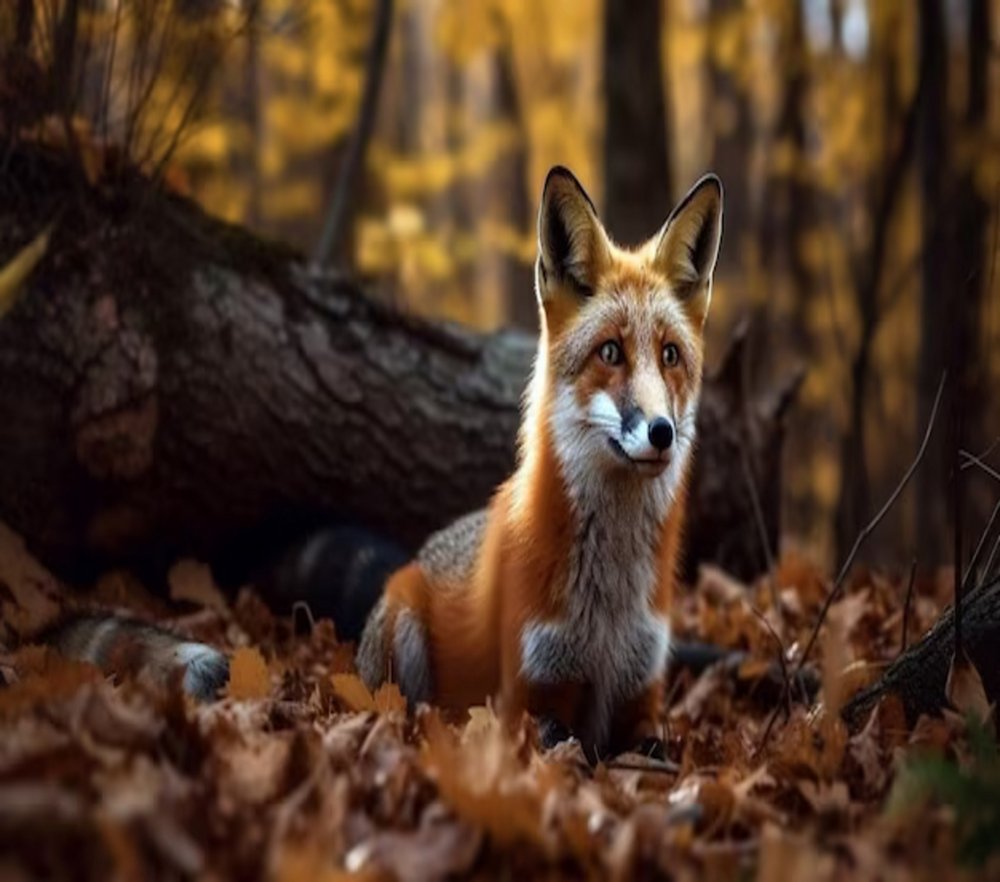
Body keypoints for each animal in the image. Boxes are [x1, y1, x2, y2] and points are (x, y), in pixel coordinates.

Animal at [42, 166, 723, 760]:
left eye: (670, 356)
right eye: (610, 352)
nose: (661, 433)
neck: (608, 603)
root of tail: (410, 561)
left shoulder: (640, 696)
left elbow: (654, 751)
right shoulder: (530, 698)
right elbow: (573, 748)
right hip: (407, 635)